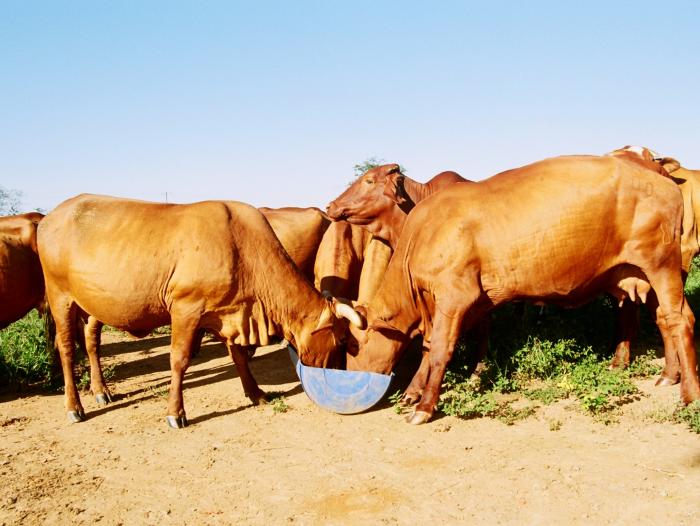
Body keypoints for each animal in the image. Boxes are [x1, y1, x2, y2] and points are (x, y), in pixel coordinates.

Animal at [344, 156, 700, 424]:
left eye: (351, 345)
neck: (421, 231)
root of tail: (664, 178)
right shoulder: (460, 303)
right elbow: (432, 346)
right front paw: (417, 391)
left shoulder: (456, 296)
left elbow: (441, 349)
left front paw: (424, 405)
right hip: (645, 276)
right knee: (667, 319)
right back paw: (670, 374)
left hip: (662, 266)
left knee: (679, 320)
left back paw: (690, 394)